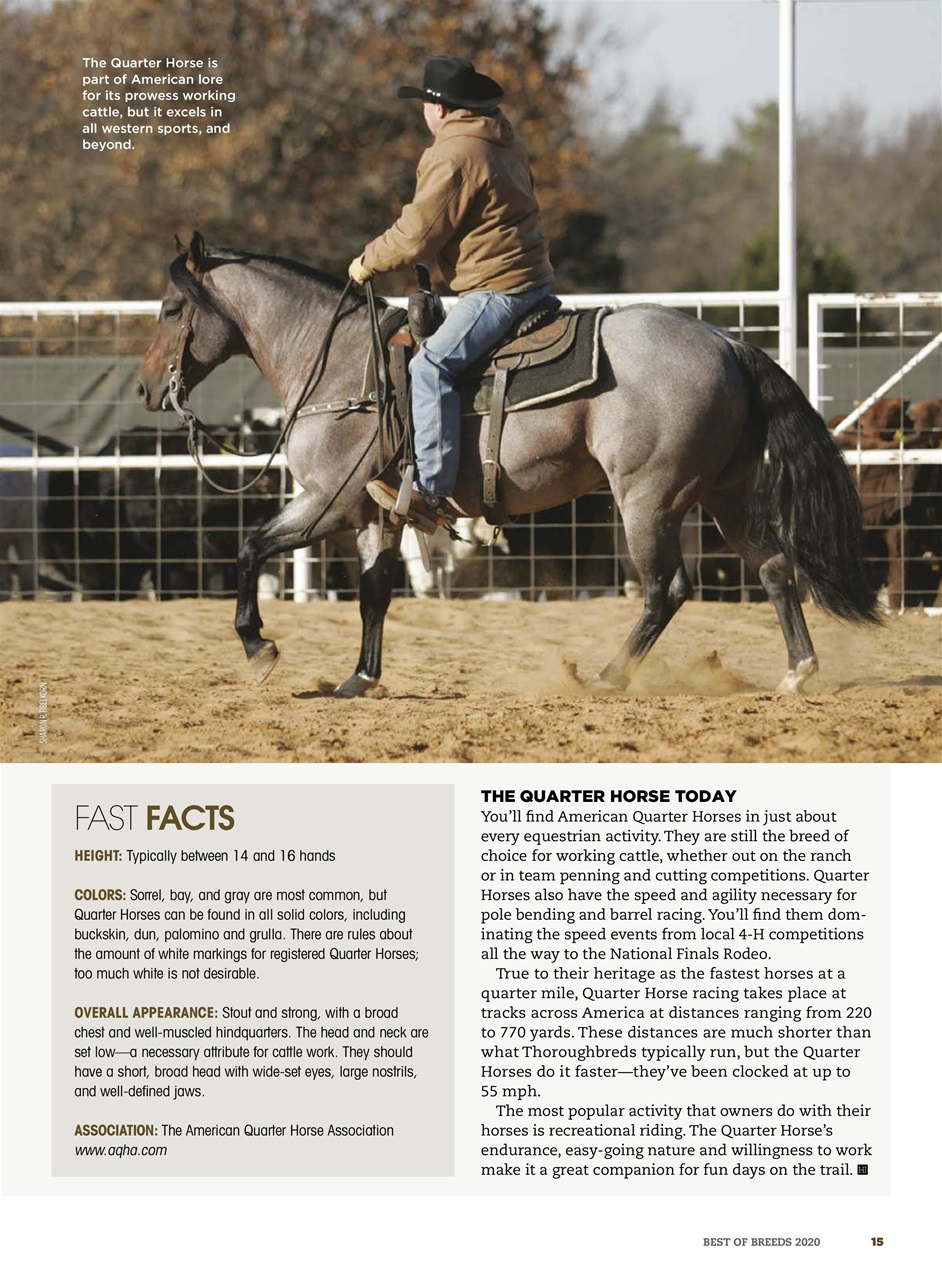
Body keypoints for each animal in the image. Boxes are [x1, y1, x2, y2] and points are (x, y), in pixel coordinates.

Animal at [137, 232, 878, 698]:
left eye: (172, 308)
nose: (147, 388)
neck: (341, 364)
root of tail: (728, 342)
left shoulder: (326, 501)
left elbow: (250, 547)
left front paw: (258, 649)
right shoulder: (375, 514)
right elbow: (374, 594)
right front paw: (359, 680)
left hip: (649, 501)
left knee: (665, 589)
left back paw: (606, 678)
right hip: (725, 495)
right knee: (776, 566)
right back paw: (797, 672)